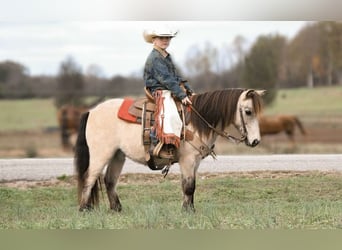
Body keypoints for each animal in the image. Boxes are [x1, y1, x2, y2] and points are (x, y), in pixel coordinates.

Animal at [75, 89, 266, 212]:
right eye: (248, 111)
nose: (255, 141)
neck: (197, 121)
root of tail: (91, 112)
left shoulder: (195, 162)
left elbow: (189, 186)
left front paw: (190, 208)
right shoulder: (187, 160)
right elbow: (189, 186)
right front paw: (187, 212)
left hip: (117, 155)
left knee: (109, 181)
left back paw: (116, 209)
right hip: (101, 155)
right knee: (89, 178)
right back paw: (84, 209)